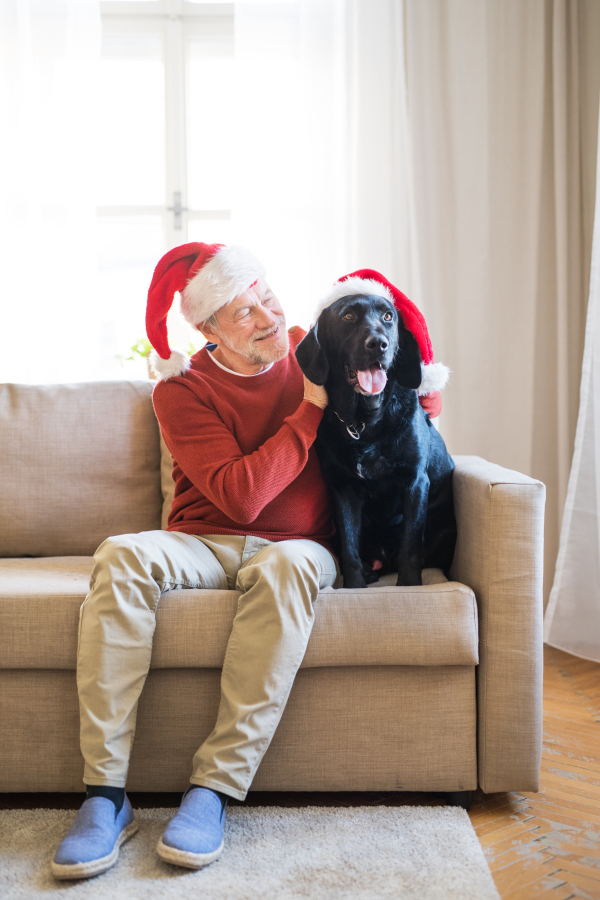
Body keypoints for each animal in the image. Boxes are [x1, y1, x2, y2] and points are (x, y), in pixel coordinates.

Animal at [296, 294, 454, 592]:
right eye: (348, 317)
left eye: (388, 316)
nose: (378, 344)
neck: (364, 423)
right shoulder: (343, 489)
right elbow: (350, 547)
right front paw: (355, 586)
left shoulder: (415, 481)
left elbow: (410, 546)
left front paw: (409, 586)